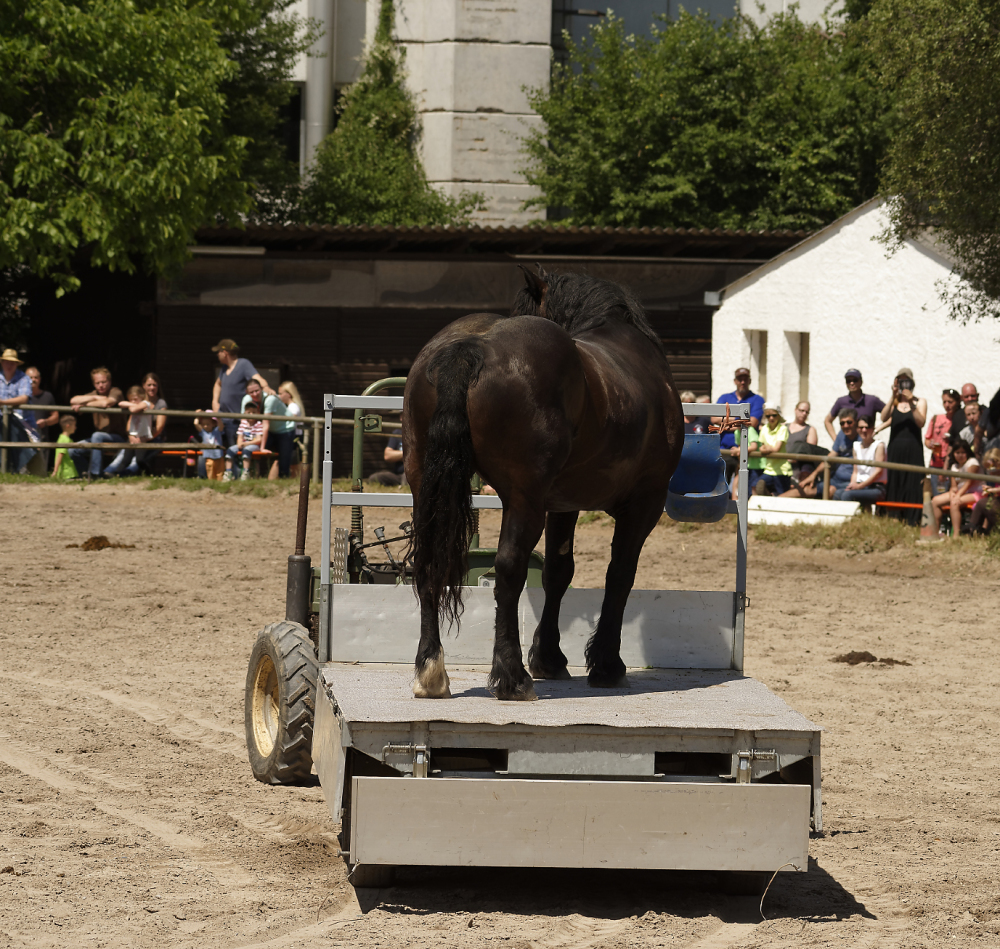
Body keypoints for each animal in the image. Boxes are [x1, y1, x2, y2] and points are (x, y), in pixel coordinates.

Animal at [401, 266, 684, 701]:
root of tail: (470, 347)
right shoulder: (644, 503)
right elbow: (620, 574)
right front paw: (606, 664)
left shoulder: (565, 503)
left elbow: (558, 572)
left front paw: (550, 657)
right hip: (524, 500)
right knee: (508, 570)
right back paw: (511, 676)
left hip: (425, 490)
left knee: (428, 563)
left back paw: (431, 670)